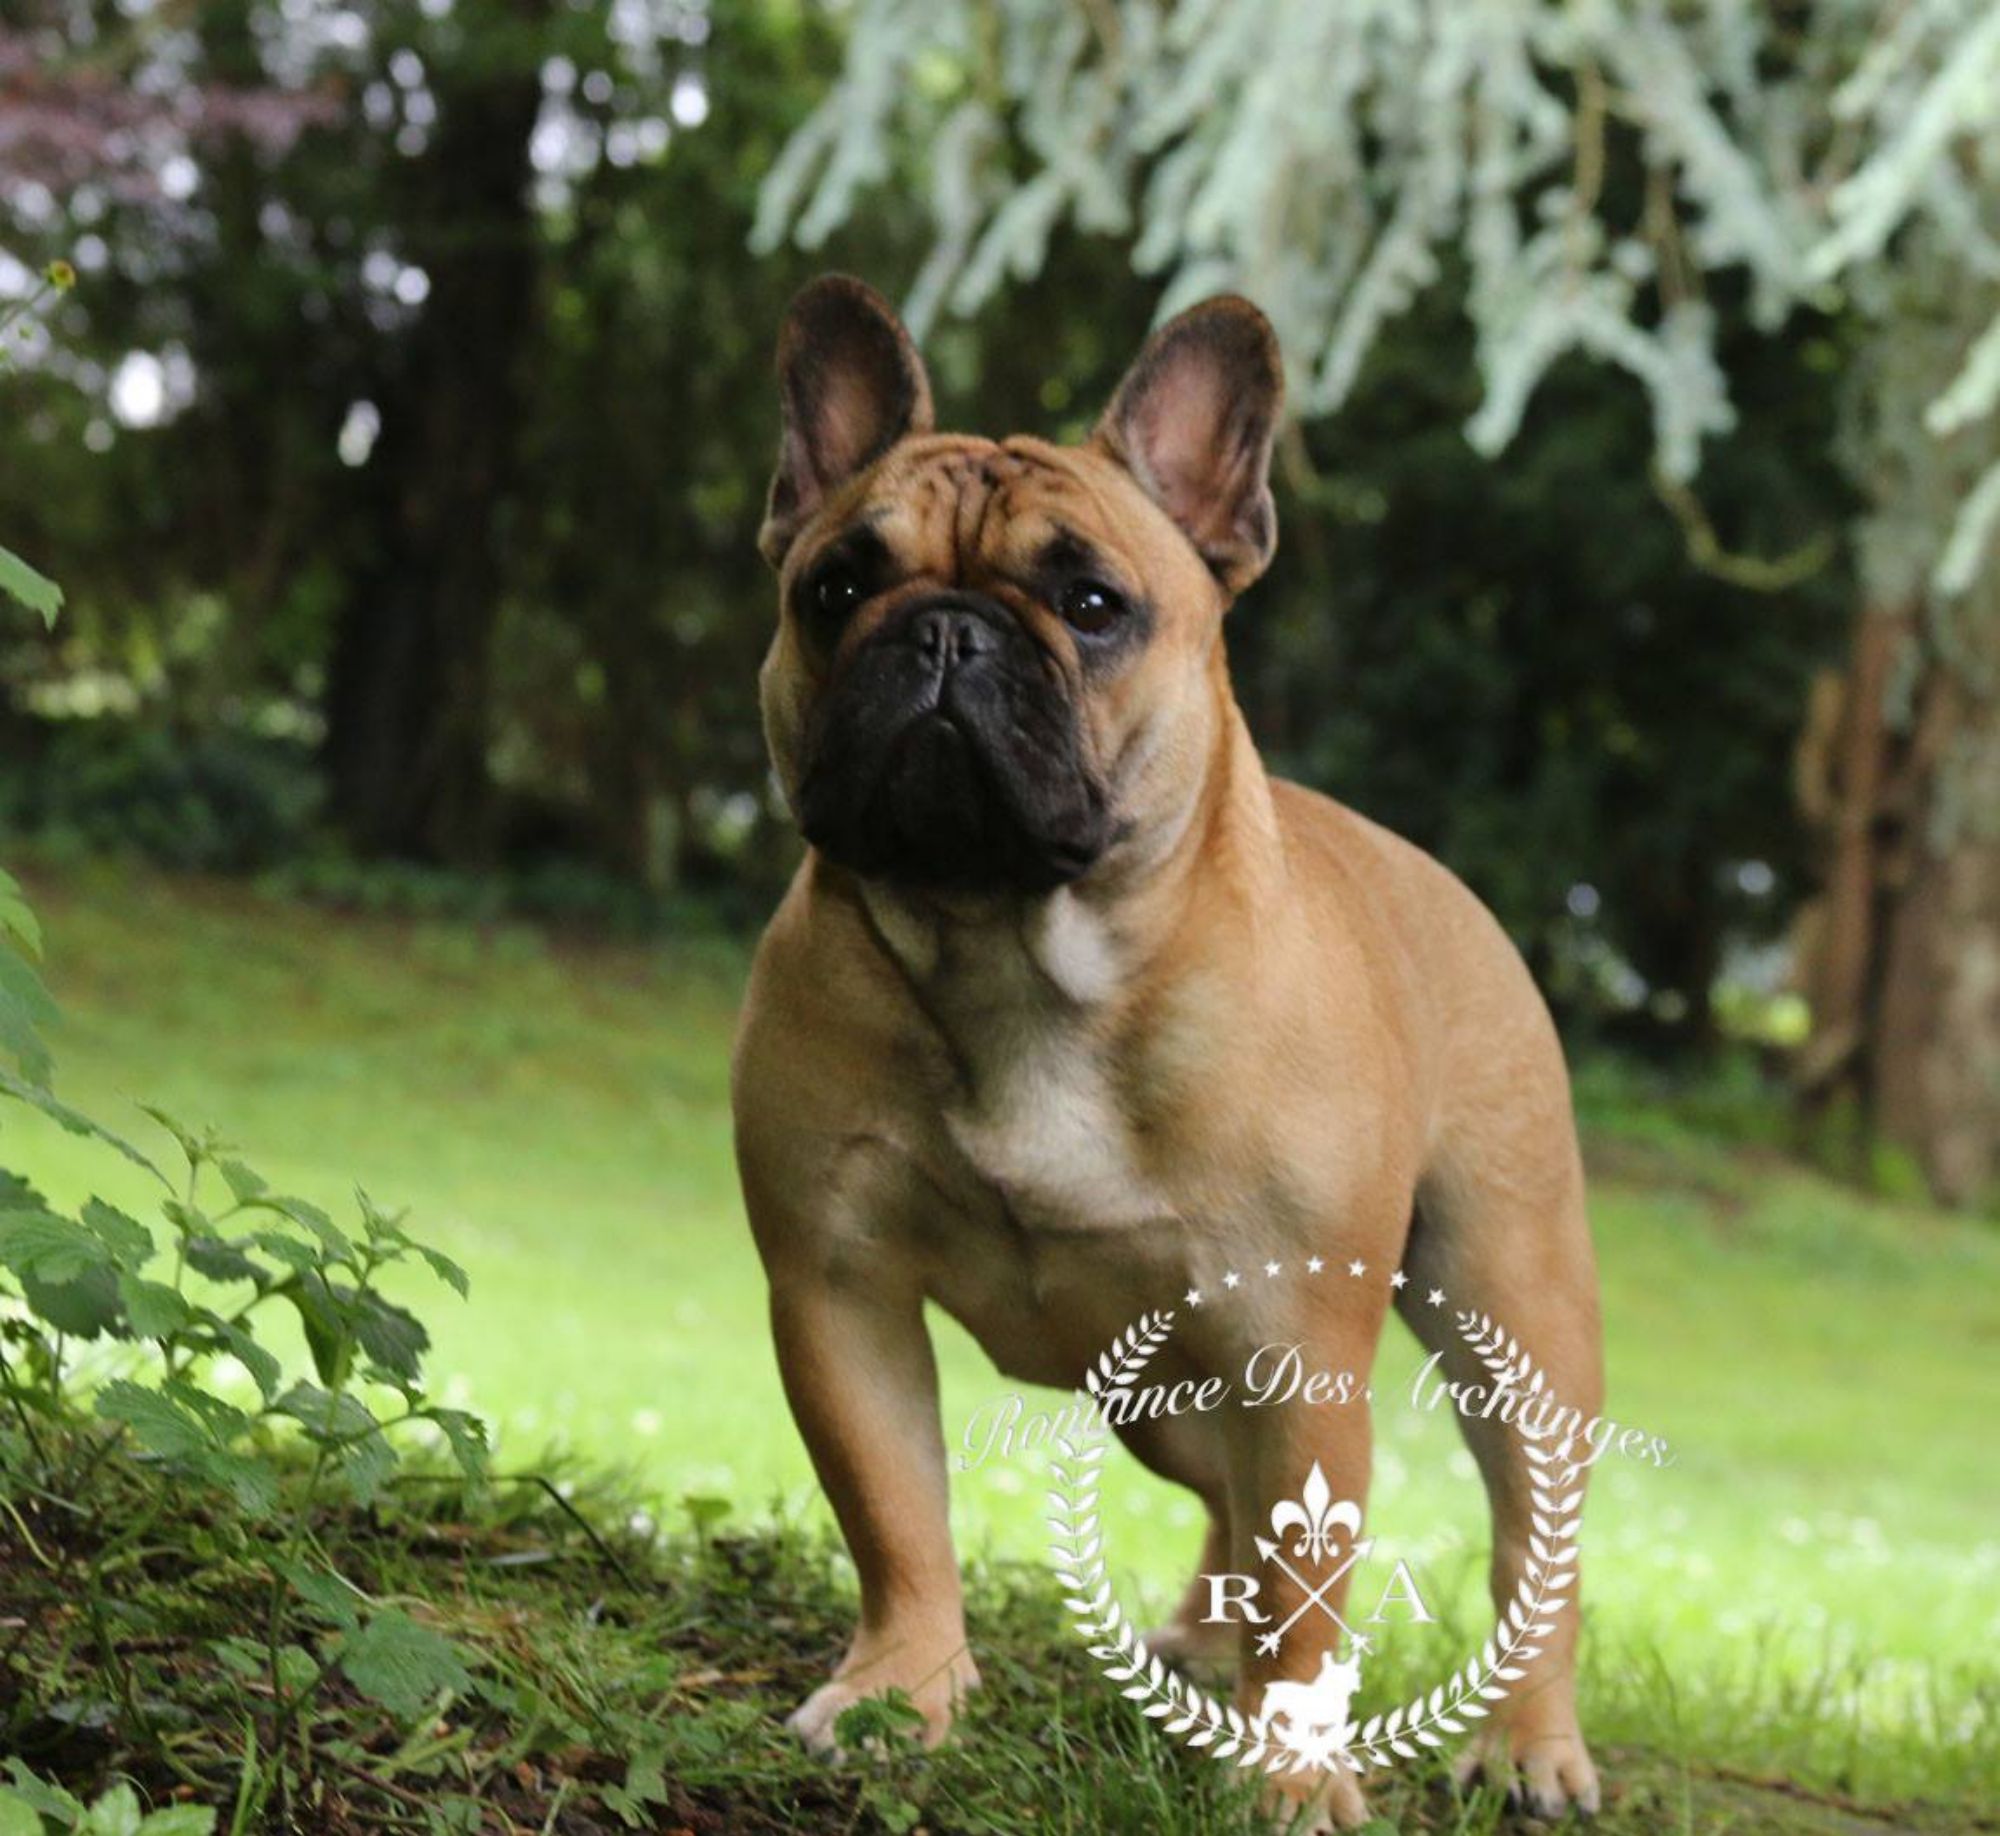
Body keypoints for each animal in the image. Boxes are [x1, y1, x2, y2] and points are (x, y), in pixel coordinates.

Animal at [731, 274, 1604, 1830]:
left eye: (1091, 605)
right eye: (834, 588)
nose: (944, 631)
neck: (1013, 946)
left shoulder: (1297, 1356)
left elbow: (1316, 1580)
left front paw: (1295, 1772)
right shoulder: (837, 1291)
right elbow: (894, 1513)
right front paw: (902, 1693)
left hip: (1511, 1301)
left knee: (1528, 1530)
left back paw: (1528, 1745)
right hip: (1164, 1396)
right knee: (1230, 1507)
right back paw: (1206, 1645)